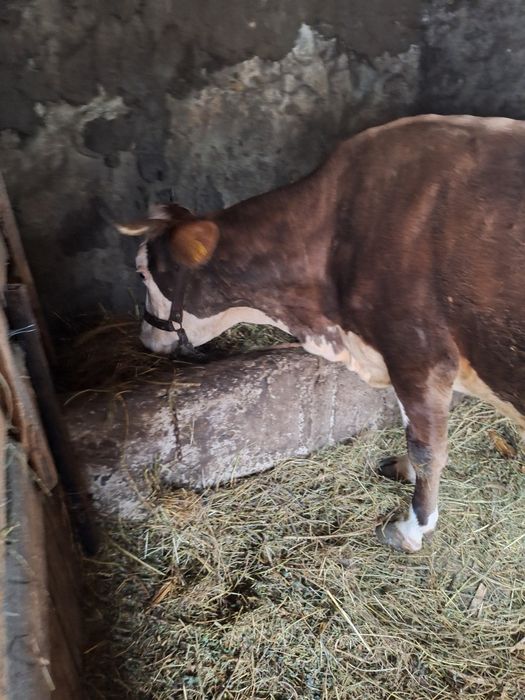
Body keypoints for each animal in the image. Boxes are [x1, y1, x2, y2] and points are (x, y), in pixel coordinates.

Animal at [114, 114, 525, 553]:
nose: (146, 337)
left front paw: (412, 528)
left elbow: (427, 448)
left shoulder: (419, 355)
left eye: (142, 273)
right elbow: (410, 427)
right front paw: (403, 470)